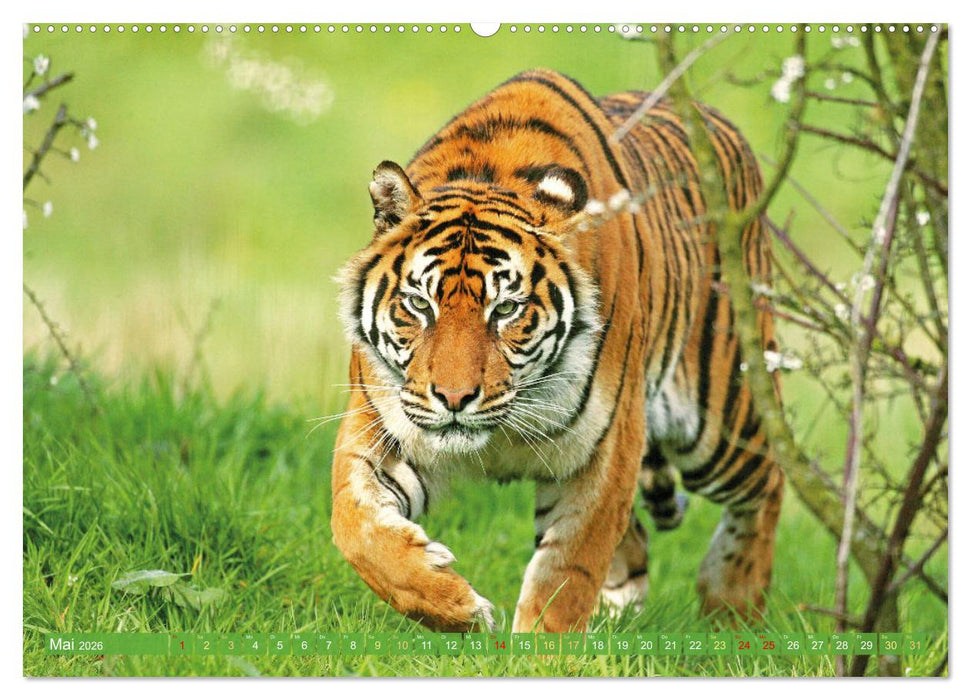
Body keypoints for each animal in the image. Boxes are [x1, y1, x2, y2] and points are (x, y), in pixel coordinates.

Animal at [330, 68, 785, 633]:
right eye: (419, 304)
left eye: (506, 309)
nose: (454, 399)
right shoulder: (383, 426)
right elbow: (356, 529)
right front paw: (459, 607)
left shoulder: (606, 449)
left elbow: (567, 573)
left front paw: (542, 645)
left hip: (722, 419)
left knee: (773, 476)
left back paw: (733, 609)